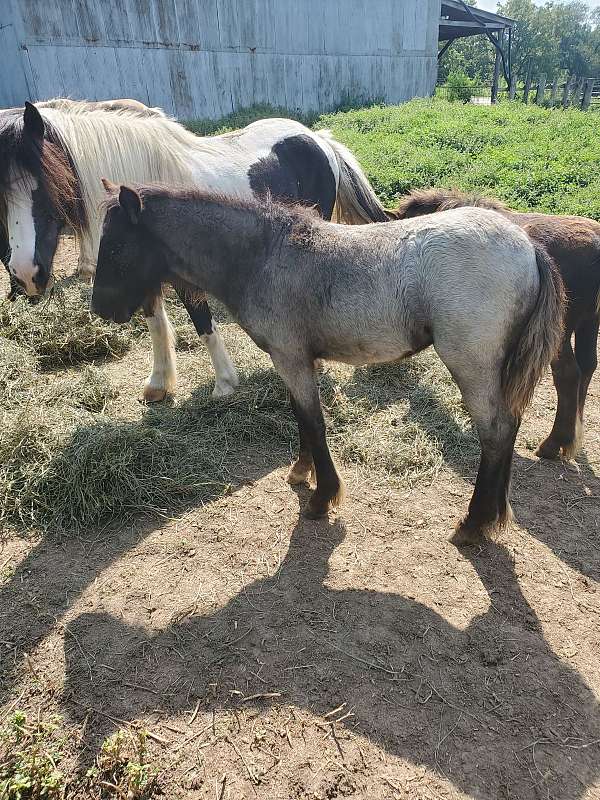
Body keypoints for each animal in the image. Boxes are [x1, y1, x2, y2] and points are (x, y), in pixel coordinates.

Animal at [0, 100, 390, 400]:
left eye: (45, 183)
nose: (25, 274)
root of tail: (317, 138)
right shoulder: (143, 271)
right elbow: (155, 321)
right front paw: (159, 384)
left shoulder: (185, 278)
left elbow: (202, 321)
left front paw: (224, 383)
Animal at [91, 186, 564, 544]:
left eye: (115, 246)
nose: (100, 310)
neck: (264, 256)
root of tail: (528, 246)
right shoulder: (294, 360)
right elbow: (301, 419)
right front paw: (301, 473)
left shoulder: (291, 358)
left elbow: (315, 423)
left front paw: (322, 499)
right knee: (509, 426)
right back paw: (497, 515)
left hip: (472, 365)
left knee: (495, 432)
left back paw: (474, 522)